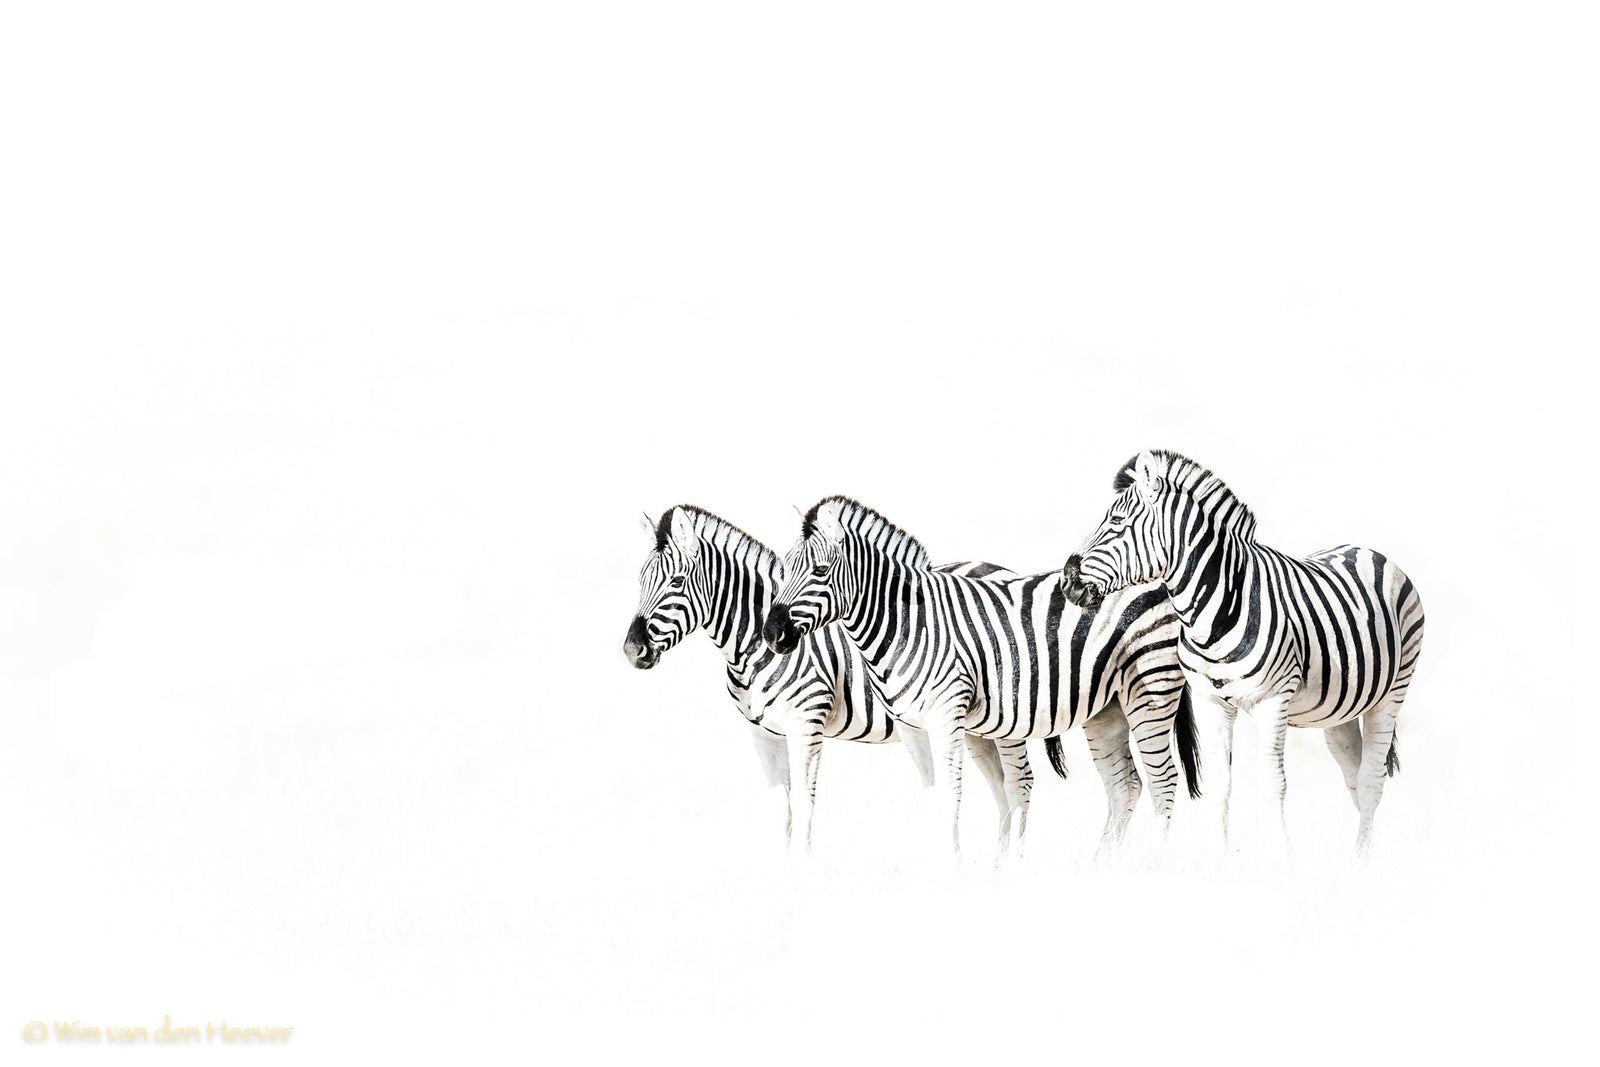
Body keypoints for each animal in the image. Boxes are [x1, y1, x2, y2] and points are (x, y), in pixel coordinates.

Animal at [622, 504, 1057, 856]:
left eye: (676, 582)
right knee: (1000, 788)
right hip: (975, 726)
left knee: (1019, 782)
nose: (631, 649)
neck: (752, 647)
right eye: (640, 581)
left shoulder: (806, 724)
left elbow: (803, 804)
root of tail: (999, 567)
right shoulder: (764, 734)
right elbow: (781, 810)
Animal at [761, 496, 1200, 860]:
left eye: (820, 570)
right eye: (784, 570)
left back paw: (1151, 863)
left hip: (1150, 692)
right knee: (1125, 786)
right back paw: (1102, 865)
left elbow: (951, 794)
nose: (771, 632)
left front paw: (953, 867)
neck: (906, 623)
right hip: (1106, 711)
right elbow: (931, 794)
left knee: (1163, 782)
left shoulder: (945, 716)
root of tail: (1158, 583)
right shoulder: (911, 726)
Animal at [1062, 450, 1425, 855]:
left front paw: (1284, 857)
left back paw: (1363, 859)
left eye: (1117, 521)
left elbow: (1274, 783)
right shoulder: (1211, 701)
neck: (1212, 614)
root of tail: (1365, 549)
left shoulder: (1273, 700)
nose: (1067, 580)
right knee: (1354, 773)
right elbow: (1221, 785)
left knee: (1372, 778)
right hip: (1338, 709)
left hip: (1392, 692)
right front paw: (1221, 857)